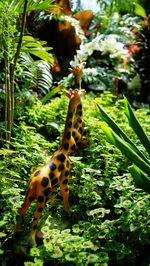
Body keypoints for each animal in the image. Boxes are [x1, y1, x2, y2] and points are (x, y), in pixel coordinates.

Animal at [16, 88, 85, 243]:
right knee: (34, 220)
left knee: (21, 210)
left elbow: (54, 196)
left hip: (29, 194)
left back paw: (15, 232)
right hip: (41, 197)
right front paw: (69, 213)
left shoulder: (55, 183)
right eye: (78, 96)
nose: (83, 96)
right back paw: (33, 242)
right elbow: (66, 197)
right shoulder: (65, 179)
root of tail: (33, 183)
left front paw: (53, 209)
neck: (64, 150)